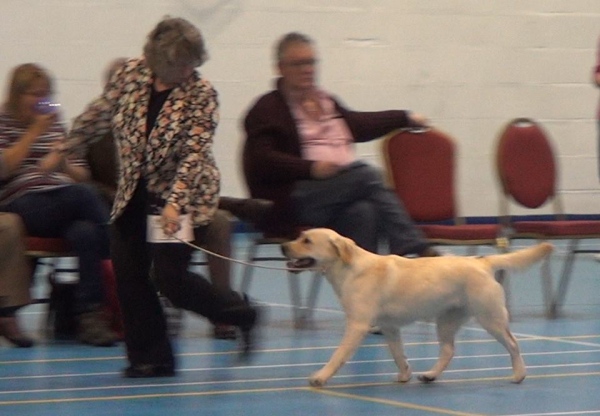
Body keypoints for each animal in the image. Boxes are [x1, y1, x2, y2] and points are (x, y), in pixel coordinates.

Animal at [282, 228, 552, 386]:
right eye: (299, 236)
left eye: (306, 240)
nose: (283, 246)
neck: (348, 269)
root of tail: (482, 262)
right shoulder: (389, 327)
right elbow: (398, 354)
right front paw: (405, 375)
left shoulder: (357, 325)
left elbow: (338, 355)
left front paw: (320, 376)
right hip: (446, 321)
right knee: (448, 350)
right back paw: (430, 375)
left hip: (490, 318)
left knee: (513, 344)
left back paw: (519, 375)